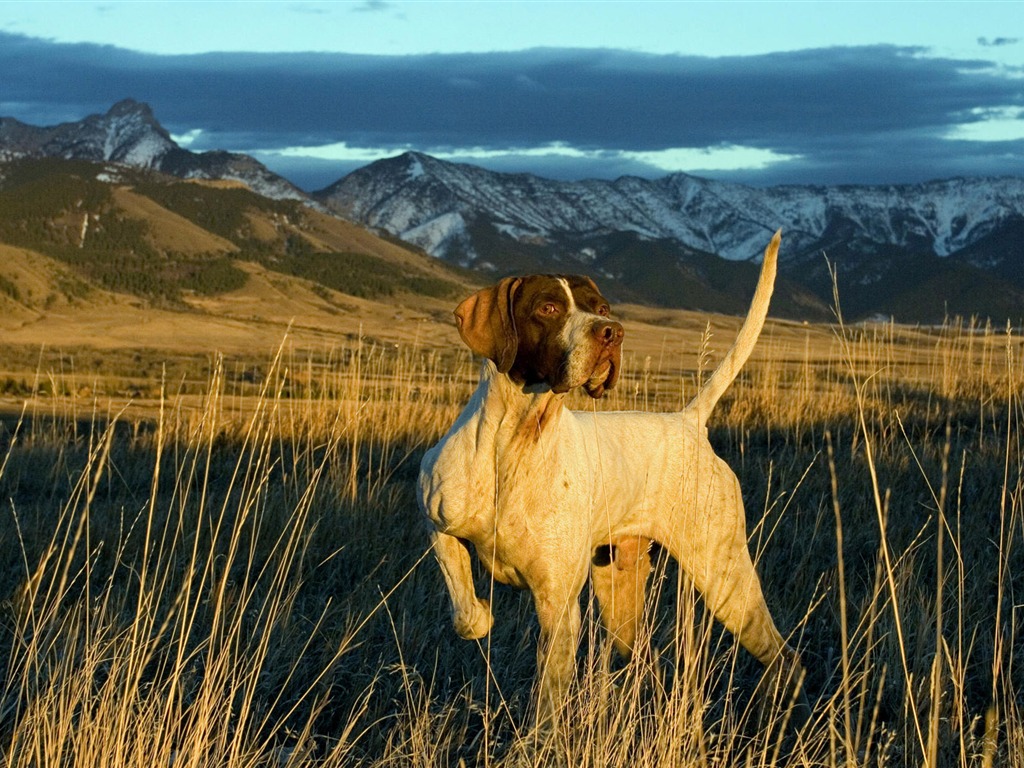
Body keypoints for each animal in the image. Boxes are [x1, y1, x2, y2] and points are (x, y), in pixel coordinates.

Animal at [415, 231, 806, 724]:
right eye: (547, 307)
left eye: (600, 307)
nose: (612, 332)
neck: (515, 442)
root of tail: (688, 422)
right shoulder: (436, 520)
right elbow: (466, 611)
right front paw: (481, 615)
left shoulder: (559, 607)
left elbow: (546, 707)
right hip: (622, 597)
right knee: (650, 660)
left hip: (724, 576)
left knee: (784, 657)